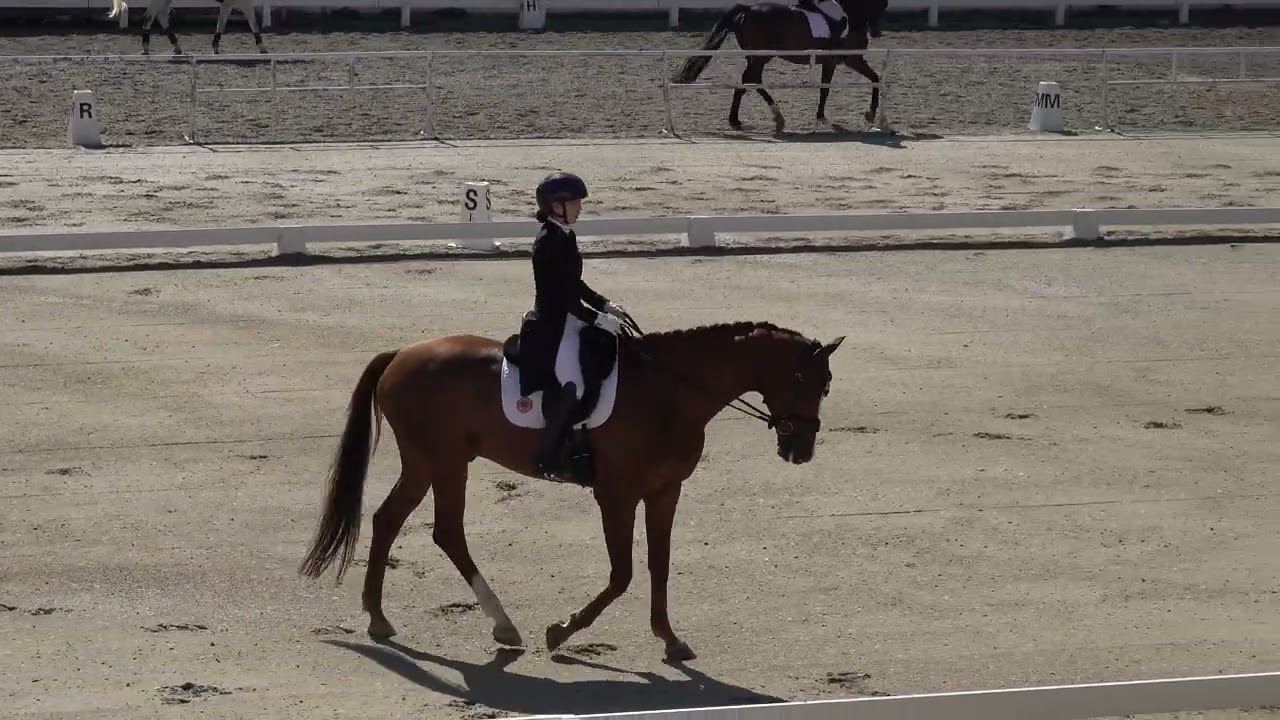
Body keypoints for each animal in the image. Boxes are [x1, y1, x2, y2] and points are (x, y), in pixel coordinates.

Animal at [108, 0, 267, 56]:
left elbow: (221, 25)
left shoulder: (227, 4)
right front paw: (262, 48)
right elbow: (253, 23)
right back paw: (146, 48)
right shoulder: (242, 3)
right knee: (150, 16)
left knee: (161, 16)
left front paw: (215, 47)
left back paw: (177, 47)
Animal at [298, 317, 845, 660]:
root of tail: (401, 354)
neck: (670, 392)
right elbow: (622, 574)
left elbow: (660, 565)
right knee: (437, 529)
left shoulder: (665, 491)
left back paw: (384, 618)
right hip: (441, 460)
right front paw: (561, 632)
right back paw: (494, 624)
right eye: (808, 380)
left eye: (827, 385)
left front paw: (669, 638)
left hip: (435, 462)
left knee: (399, 521)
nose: (800, 450)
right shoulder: (617, 494)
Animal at [671, 0, 890, 135]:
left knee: (749, 80)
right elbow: (874, 79)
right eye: (883, 4)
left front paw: (821, 117)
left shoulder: (835, 62)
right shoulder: (851, 58)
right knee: (750, 80)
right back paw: (767, 117)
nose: (877, 32)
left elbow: (826, 89)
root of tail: (748, 9)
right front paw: (869, 114)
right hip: (761, 57)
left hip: (756, 57)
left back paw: (747, 120)